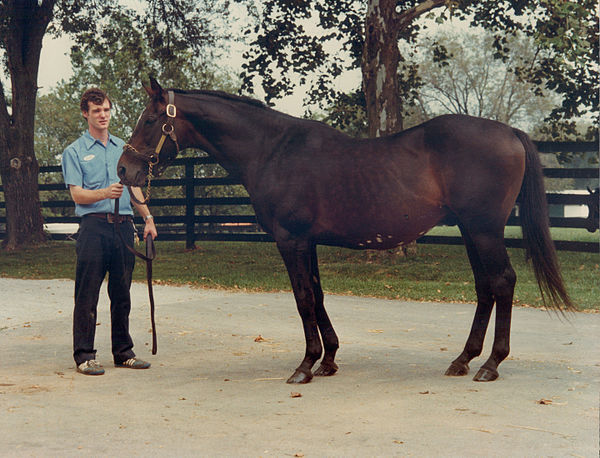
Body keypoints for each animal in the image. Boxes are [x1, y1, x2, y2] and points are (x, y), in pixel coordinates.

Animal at [116, 78, 572, 382]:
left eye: (151, 119)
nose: (124, 169)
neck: (273, 150)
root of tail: (509, 131)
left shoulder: (291, 240)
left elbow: (303, 298)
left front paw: (305, 366)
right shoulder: (309, 241)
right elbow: (317, 295)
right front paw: (329, 360)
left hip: (484, 230)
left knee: (503, 282)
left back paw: (491, 364)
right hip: (471, 231)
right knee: (485, 287)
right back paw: (463, 360)